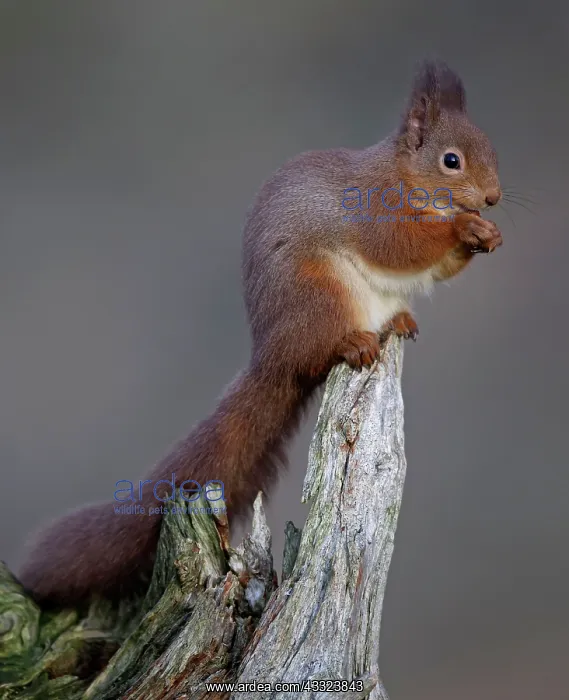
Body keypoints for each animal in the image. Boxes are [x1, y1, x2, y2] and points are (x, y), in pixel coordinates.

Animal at [18, 59, 502, 606]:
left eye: (489, 149)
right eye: (450, 160)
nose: (492, 198)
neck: (403, 176)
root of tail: (271, 355)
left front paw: (485, 233)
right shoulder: (373, 210)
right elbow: (400, 244)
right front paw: (463, 226)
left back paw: (397, 322)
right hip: (317, 293)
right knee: (321, 350)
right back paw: (353, 342)